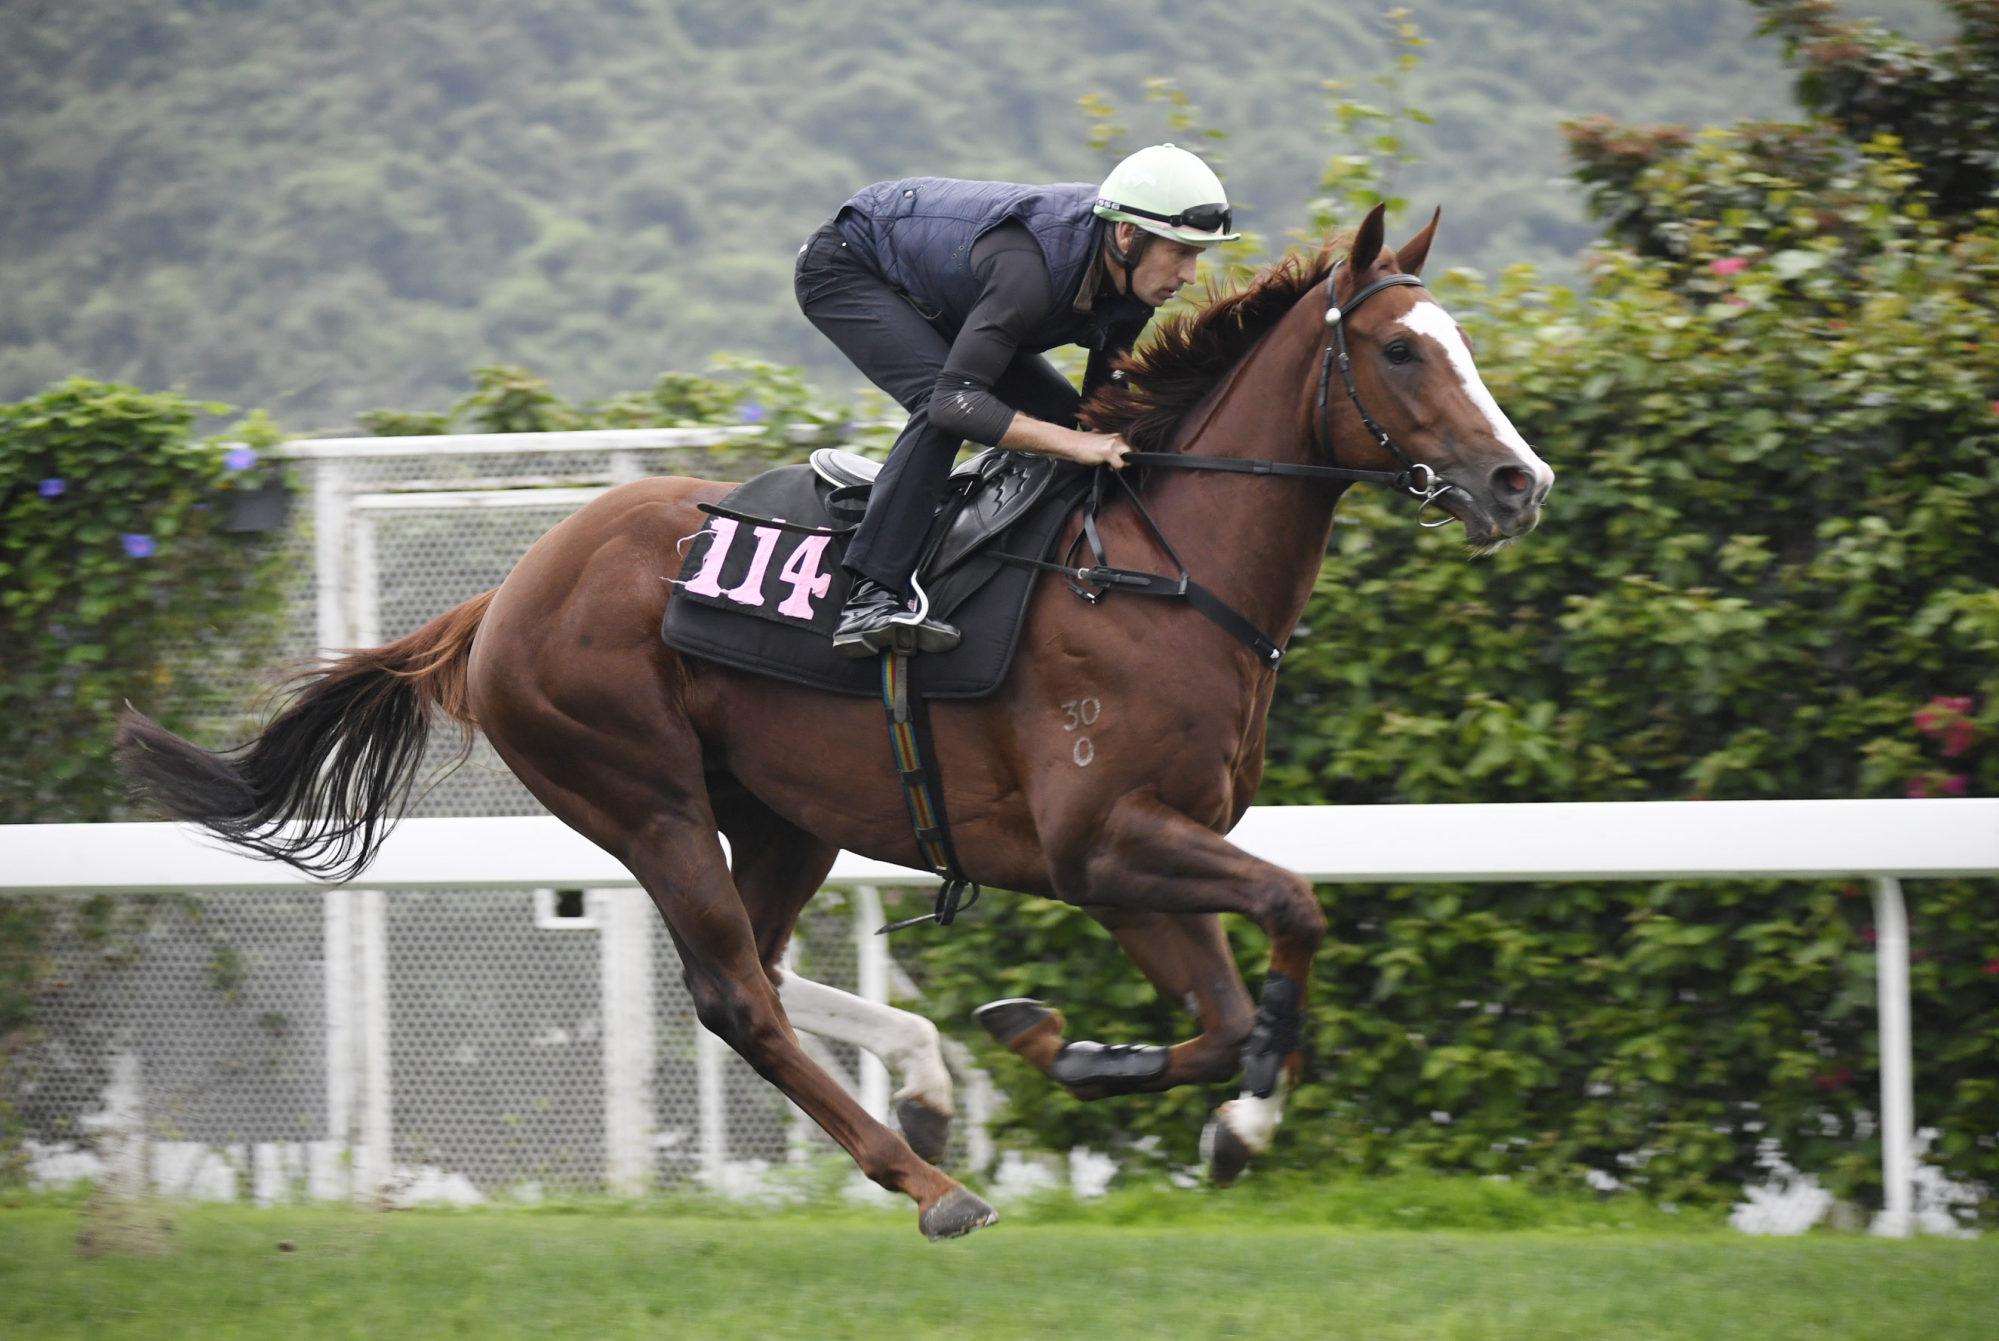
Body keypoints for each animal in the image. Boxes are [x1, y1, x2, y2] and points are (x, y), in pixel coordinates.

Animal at [120, 204, 1543, 1247]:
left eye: (1459, 343)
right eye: (1404, 350)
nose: (1515, 482)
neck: (1158, 569)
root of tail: (503, 595)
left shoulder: (1129, 853)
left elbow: (1222, 1012)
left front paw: (1073, 1049)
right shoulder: (1104, 837)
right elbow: (1293, 912)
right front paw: (1239, 1123)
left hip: (781, 811)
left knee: (750, 970)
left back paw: (924, 1085)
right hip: (641, 795)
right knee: (733, 994)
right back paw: (932, 1186)